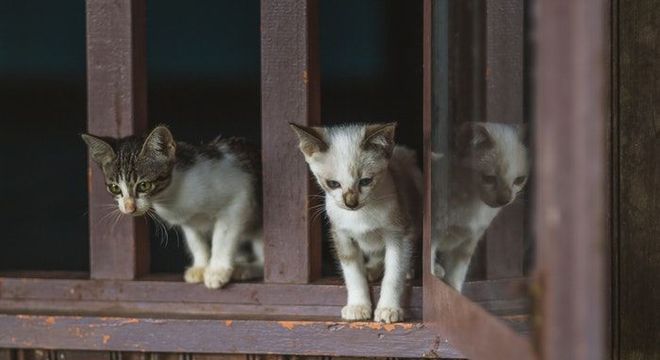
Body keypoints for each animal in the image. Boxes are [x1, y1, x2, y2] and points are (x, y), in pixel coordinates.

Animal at [290, 124, 422, 324]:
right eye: (333, 184)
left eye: (366, 181)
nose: (350, 203)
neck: (360, 216)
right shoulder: (341, 235)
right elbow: (353, 274)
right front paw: (358, 306)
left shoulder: (398, 233)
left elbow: (393, 274)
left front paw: (388, 308)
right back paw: (371, 269)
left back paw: (407, 270)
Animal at [430, 121, 528, 292]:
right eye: (489, 178)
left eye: (519, 180)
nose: (505, 200)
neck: (473, 204)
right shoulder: (434, 233)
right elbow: (428, 261)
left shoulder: (468, 243)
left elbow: (455, 277)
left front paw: (454, 292)